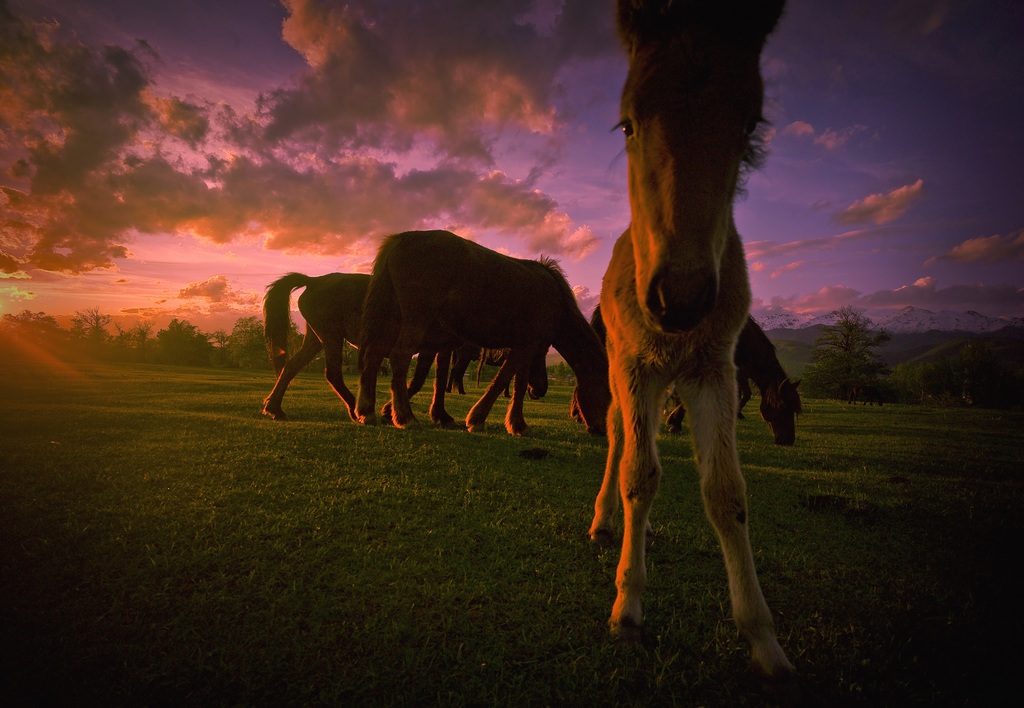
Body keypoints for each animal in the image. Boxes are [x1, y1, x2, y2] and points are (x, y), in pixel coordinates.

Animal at [352, 229, 606, 434]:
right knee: (399, 357)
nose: (601, 430)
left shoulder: (528, 346)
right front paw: (477, 419)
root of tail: (400, 239)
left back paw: (367, 412)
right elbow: (503, 379)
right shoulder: (525, 345)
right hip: (416, 320)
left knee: (373, 355)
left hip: (392, 318)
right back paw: (406, 418)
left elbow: (517, 383)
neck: (555, 298)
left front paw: (517, 424)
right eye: (608, 393)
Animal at [589, 0, 794, 688]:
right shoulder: (636, 366)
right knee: (619, 436)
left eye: (750, 122)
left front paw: (764, 640)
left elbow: (727, 493)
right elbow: (639, 473)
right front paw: (627, 611)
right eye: (627, 122)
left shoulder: (714, 371)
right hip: (623, 365)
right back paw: (603, 521)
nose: (679, 296)